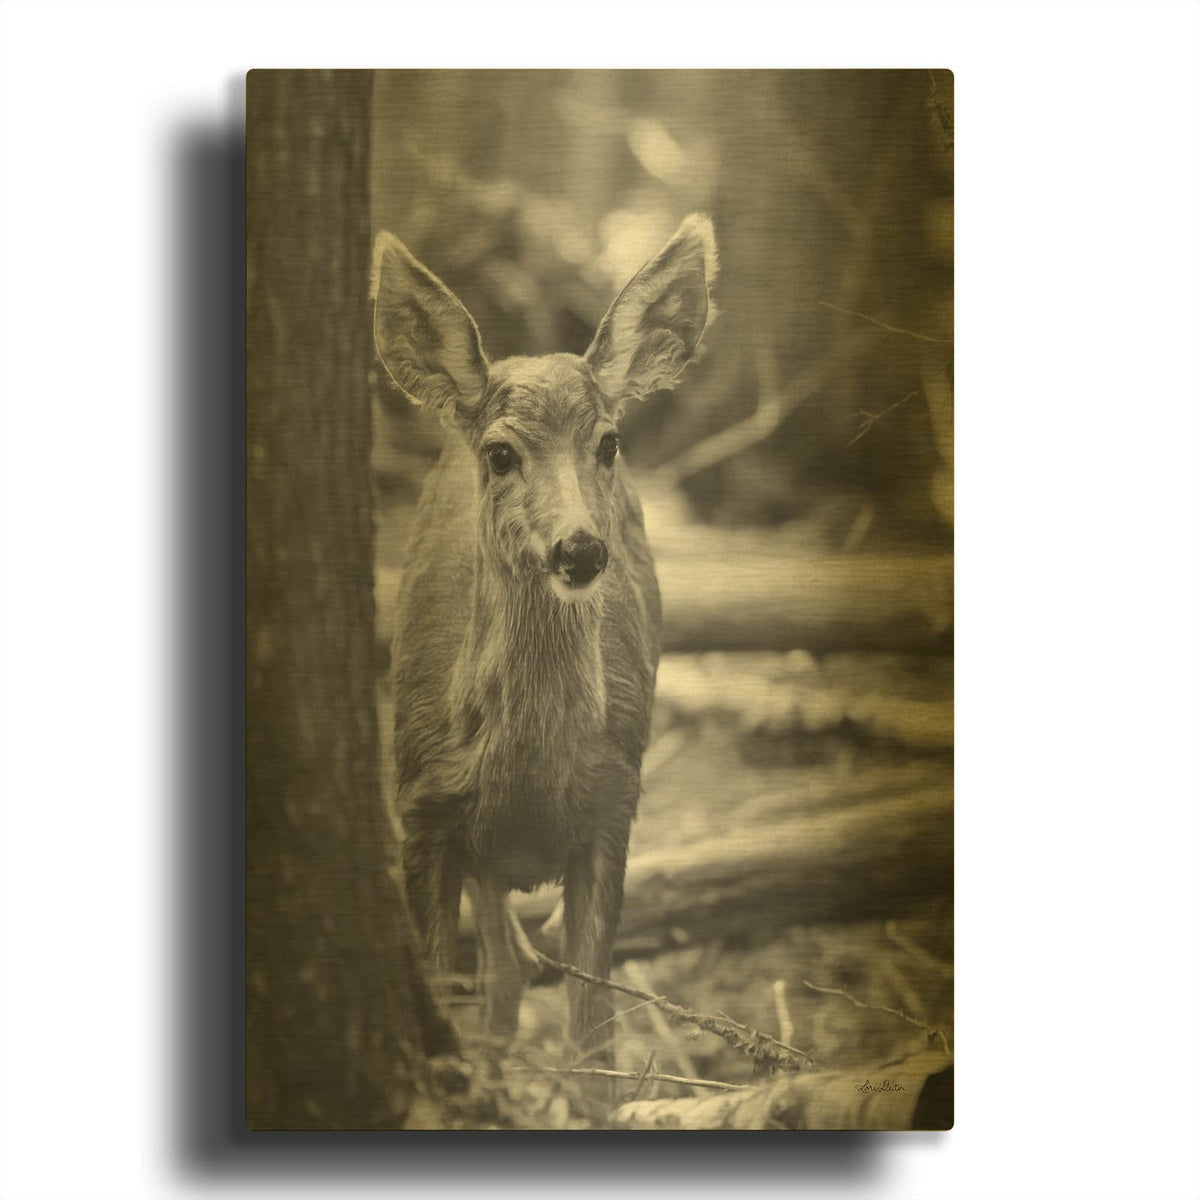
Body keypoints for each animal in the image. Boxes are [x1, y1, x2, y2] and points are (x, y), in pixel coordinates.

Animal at [372, 214, 718, 1090]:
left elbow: (594, 1039)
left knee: (515, 970)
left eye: (610, 443)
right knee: (503, 970)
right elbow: (448, 982)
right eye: (499, 453)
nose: (581, 548)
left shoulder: (616, 801)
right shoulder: (421, 807)